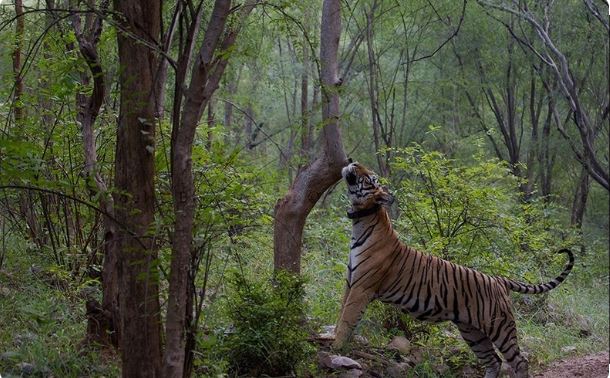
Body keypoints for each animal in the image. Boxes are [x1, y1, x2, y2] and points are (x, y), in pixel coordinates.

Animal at [334, 161, 572, 378]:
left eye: (370, 177)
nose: (352, 161)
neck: (362, 219)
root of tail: (498, 279)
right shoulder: (350, 283)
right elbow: (341, 315)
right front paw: (332, 338)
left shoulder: (362, 287)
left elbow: (347, 319)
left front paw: (337, 347)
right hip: (472, 330)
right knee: (493, 361)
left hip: (499, 326)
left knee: (519, 360)